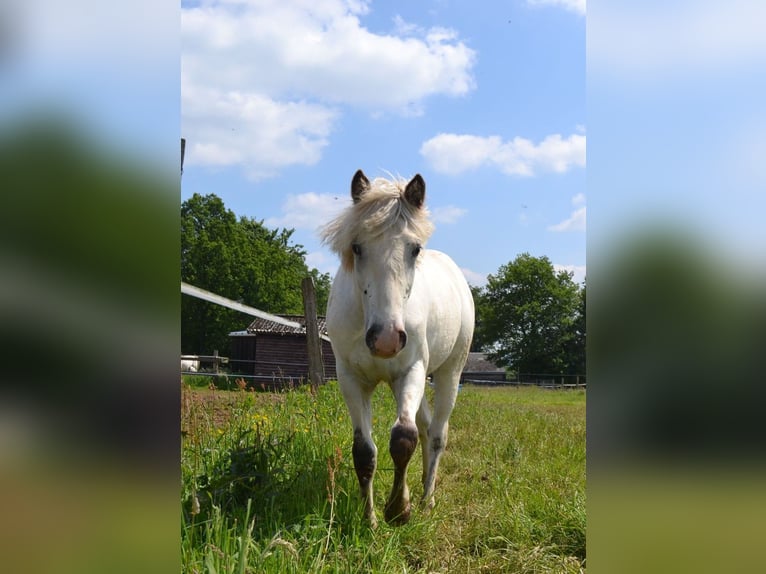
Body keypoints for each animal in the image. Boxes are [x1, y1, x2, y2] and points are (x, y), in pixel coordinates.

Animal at [318, 170, 474, 528]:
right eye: (357, 247)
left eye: (414, 249)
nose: (386, 339)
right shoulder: (351, 379)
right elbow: (364, 451)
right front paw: (370, 519)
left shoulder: (412, 369)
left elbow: (404, 438)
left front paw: (399, 510)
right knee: (426, 427)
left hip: (449, 373)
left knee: (437, 434)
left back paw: (427, 500)